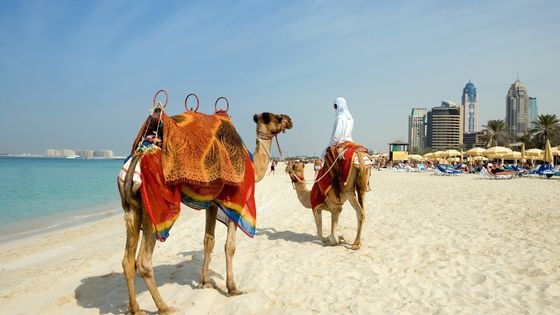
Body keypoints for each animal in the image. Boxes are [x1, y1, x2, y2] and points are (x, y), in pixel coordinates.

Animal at [118, 112, 294, 314]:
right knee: (143, 261)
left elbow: (208, 240)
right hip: (154, 208)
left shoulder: (212, 203)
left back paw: (135, 308)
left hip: (132, 209)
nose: (290, 120)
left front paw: (205, 282)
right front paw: (232, 288)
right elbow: (230, 246)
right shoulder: (234, 202)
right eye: (277, 117)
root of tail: (136, 161)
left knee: (127, 261)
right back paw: (164, 307)